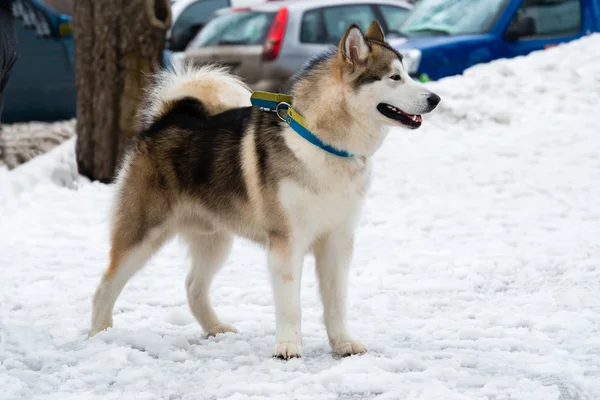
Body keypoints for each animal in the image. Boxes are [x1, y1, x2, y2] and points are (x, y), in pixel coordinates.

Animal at [91, 21, 442, 360]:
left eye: (408, 73)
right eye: (395, 77)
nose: (435, 99)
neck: (324, 144)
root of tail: (165, 120)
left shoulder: (338, 241)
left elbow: (336, 301)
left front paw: (343, 343)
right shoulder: (286, 243)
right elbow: (290, 304)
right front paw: (288, 347)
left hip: (215, 240)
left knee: (193, 286)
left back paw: (215, 328)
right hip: (142, 235)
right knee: (105, 286)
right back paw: (100, 335)